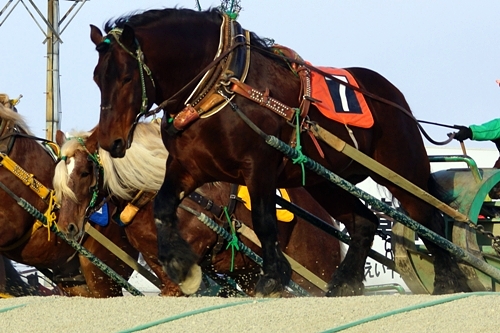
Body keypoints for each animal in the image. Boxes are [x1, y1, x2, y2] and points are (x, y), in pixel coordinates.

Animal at [53, 121, 344, 296]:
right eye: (59, 179)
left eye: (84, 172)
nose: (67, 225)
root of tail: (325, 218)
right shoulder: (158, 264)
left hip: (312, 272)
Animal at [91, 7, 472, 296]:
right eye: (97, 78)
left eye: (126, 77)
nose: (111, 141)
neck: (221, 86)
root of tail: (392, 95)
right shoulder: (189, 167)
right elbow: (163, 205)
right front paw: (180, 265)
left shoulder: (258, 165)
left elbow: (263, 220)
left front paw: (274, 275)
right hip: (324, 181)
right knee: (364, 221)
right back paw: (342, 284)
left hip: (402, 170)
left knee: (428, 219)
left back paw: (449, 281)